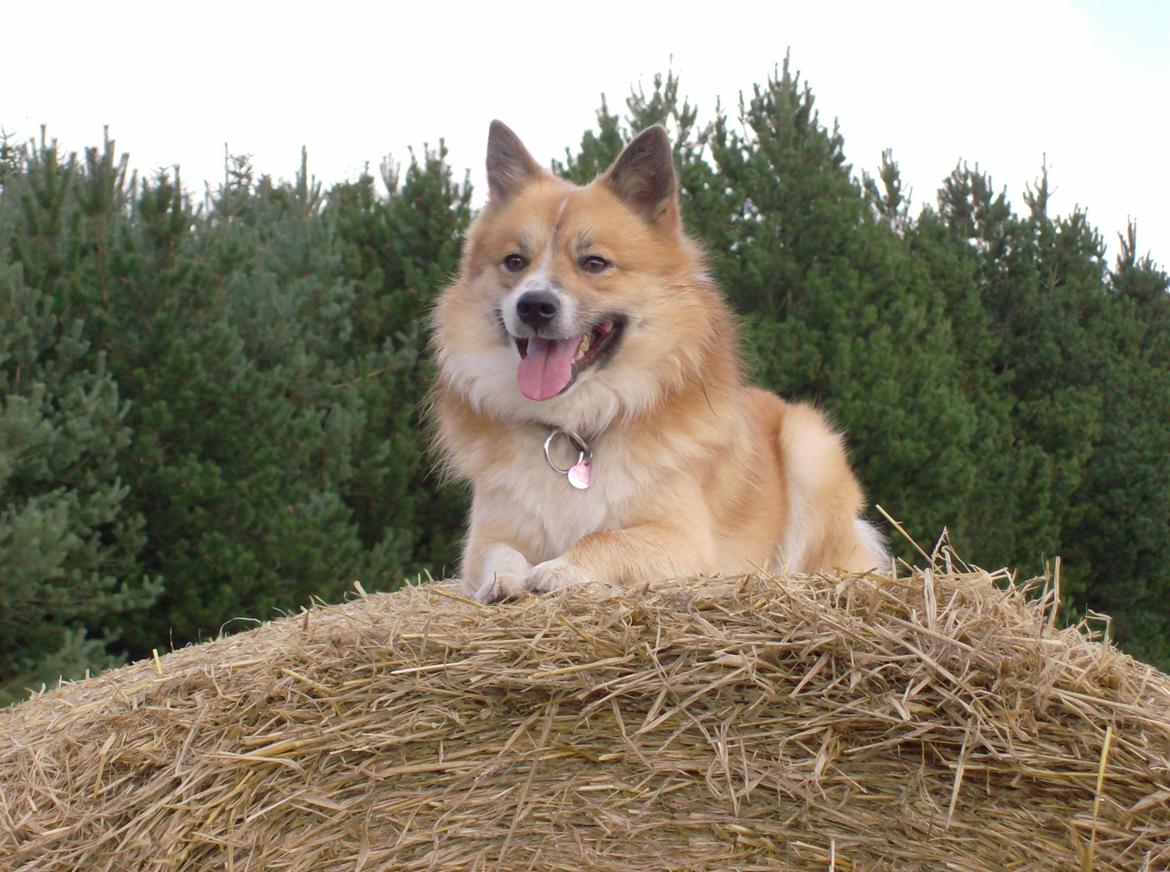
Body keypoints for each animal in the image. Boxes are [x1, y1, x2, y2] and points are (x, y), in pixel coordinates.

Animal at [432, 118, 884, 603]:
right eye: (514, 261)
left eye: (594, 263)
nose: (534, 305)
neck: (576, 430)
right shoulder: (485, 539)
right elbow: (500, 556)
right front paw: (505, 580)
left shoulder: (681, 540)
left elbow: (606, 538)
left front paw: (561, 568)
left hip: (810, 449)